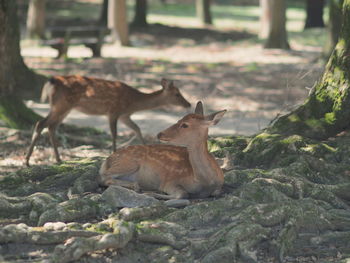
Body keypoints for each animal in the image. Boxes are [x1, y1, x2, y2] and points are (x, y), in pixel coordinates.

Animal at [25, 76, 191, 167]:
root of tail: (51, 81)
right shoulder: (114, 111)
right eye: (177, 94)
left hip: (62, 107)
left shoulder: (125, 116)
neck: (133, 103)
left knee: (50, 126)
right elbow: (114, 134)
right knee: (42, 123)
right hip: (62, 104)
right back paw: (27, 161)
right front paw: (113, 153)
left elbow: (137, 128)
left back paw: (58, 159)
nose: (188, 104)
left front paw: (146, 148)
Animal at [98, 101, 226, 200]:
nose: (160, 134)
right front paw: (151, 193)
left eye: (185, 125)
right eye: (178, 119)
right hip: (128, 163)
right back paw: (136, 186)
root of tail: (108, 160)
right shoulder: (169, 181)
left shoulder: (220, 186)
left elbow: (215, 192)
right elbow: (183, 194)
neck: (204, 181)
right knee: (103, 177)